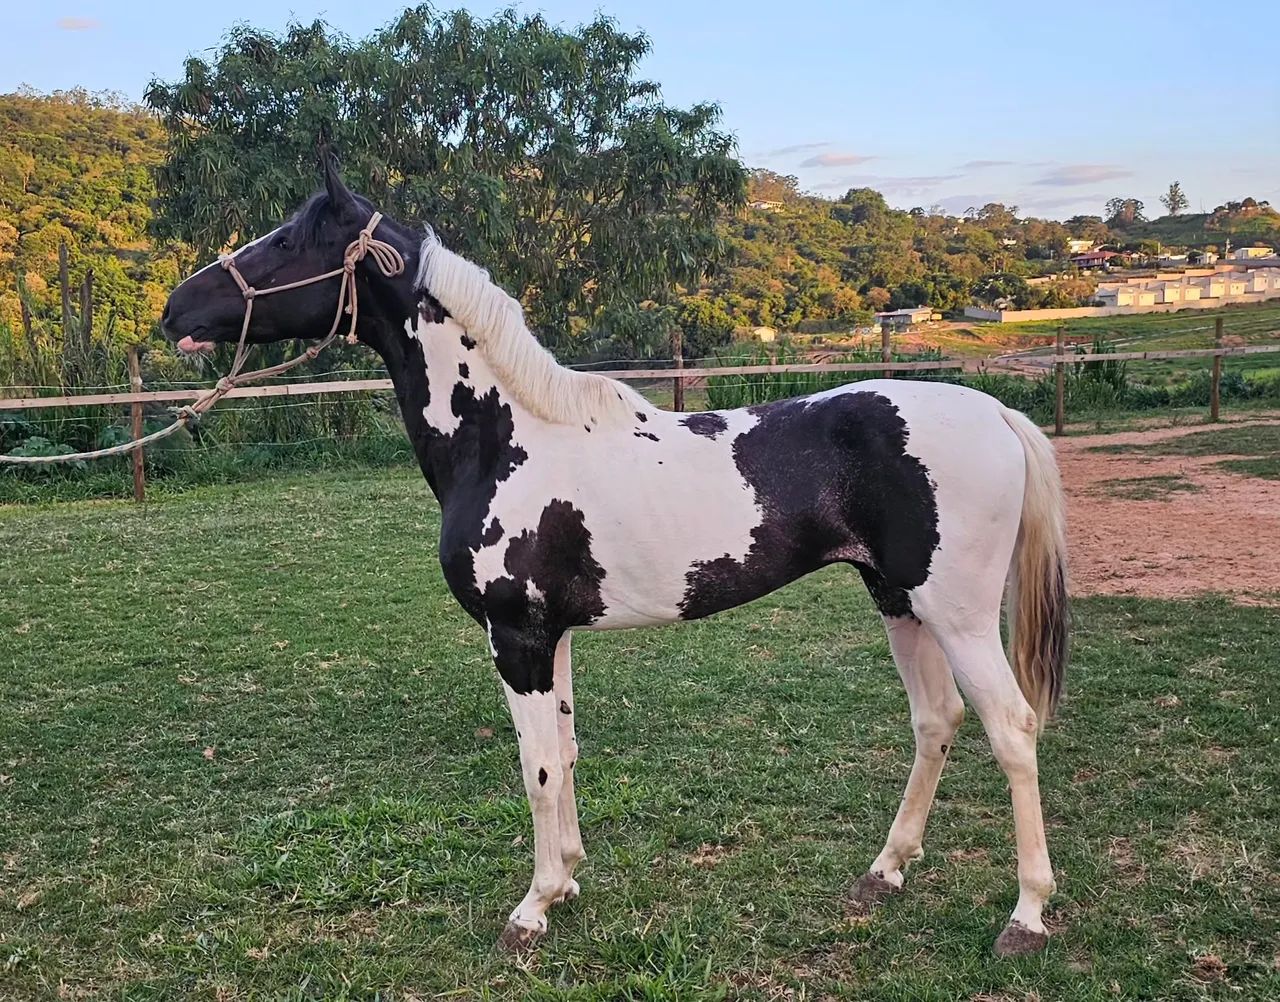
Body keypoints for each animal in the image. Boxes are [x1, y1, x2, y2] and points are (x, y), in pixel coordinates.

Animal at [161, 164, 1069, 957]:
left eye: (285, 240)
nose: (175, 310)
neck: (506, 437)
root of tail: (996, 412)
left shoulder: (517, 638)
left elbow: (534, 768)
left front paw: (530, 911)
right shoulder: (551, 638)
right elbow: (562, 756)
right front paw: (565, 880)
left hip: (955, 614)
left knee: (1012, 729)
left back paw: (1026, 918)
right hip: (896, 598)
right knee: (936, 721)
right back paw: (883, 874)